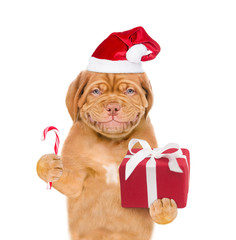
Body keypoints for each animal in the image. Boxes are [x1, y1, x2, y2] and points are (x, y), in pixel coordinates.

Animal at [37, 70, 177, 239]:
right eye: (96, 91)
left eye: (130, 91)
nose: (113, 107)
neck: (111, 142)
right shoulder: (75, 181)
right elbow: (67, 180)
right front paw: (48, 165)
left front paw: (163, 207)